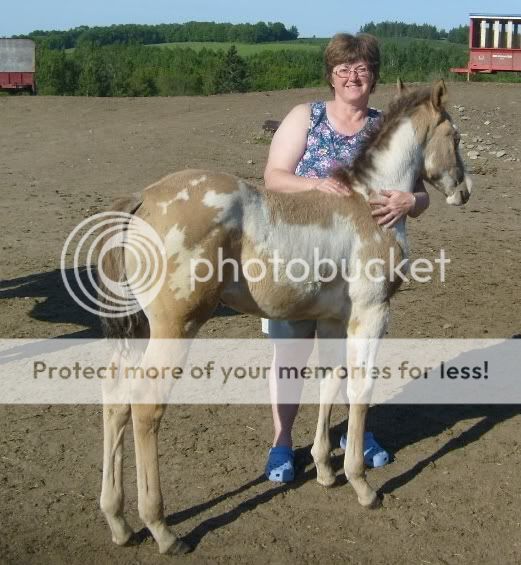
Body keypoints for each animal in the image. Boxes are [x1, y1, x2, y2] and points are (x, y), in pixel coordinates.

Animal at [97, 81, 472, 552]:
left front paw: (326, 471)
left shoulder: (333, 321)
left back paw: (118, 522)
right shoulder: (372, 312)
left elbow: (331, 383)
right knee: (145, 404)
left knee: (115, 397)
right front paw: (362, 485)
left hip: (141, 329)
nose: (465, 190)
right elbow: (361, 388)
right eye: (454, 136)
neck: (368, 205)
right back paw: (163, 530)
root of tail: (142, 200)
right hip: (175, 328)